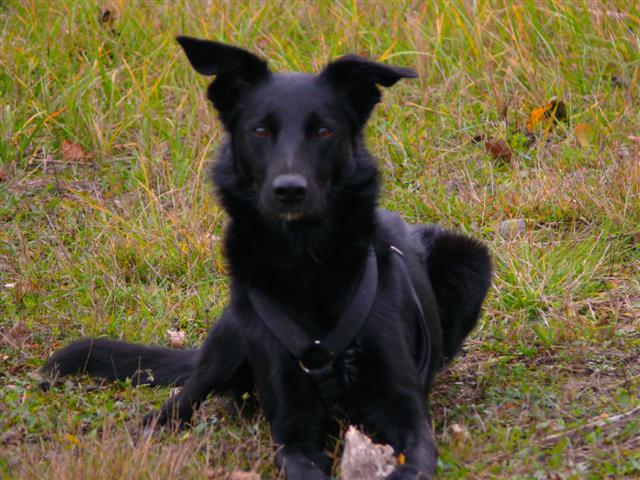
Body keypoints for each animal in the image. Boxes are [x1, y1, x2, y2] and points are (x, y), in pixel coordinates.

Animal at [45, 37, 492, 480]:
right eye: (260, 131)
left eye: (323, 130)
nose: (289, 190)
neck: (305, 261)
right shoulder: (293, 433)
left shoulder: (406, 411)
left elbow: (415, 461)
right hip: (233, 329)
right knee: (187, 394)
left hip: (471, 260)